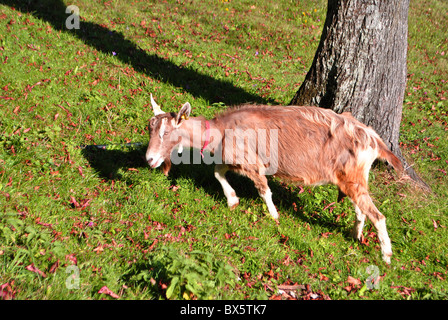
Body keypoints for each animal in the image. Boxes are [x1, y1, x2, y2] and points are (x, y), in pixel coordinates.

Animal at [145, 94, 404, 264]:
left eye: (166, 132)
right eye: (150, 128)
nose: (149, 159)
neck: (221, 130)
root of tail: (373, 139)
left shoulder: (253, 164)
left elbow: (263, 190)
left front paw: (274, 216)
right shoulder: (231, 159)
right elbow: (218, 172)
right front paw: (232, 200)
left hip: (353, 179)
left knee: (379, 216)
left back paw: (386, 256)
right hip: (353, 179)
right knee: (361, 209)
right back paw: (356, 235)